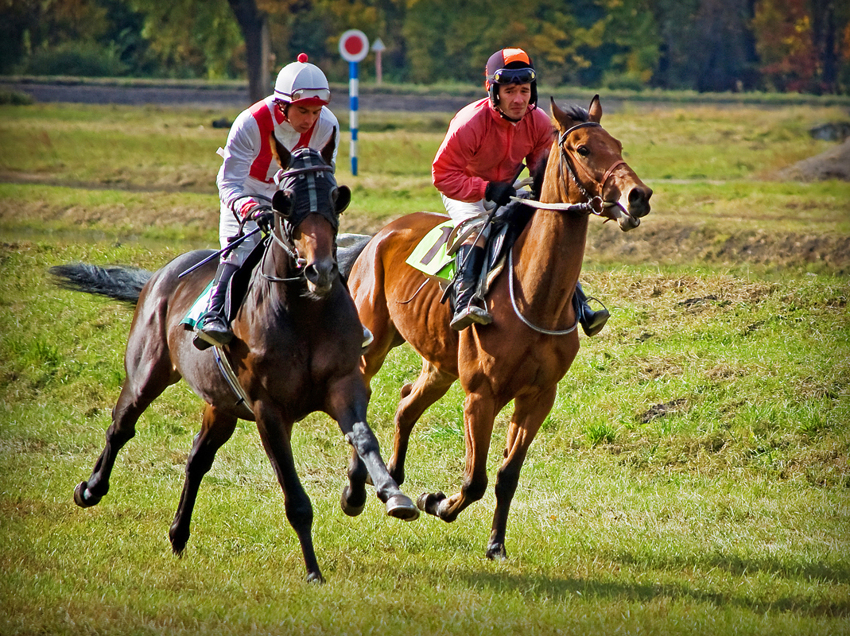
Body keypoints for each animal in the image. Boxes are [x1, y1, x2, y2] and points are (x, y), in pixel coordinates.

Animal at [51, 137, 416, 584]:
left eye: (335, 195)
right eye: (283, 200)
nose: (322, 270)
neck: (304, 313)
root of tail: (158, 275)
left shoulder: (344, 385)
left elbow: (364, 438)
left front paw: (389, 495)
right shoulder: (268, 410)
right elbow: (294, 496)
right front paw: (313, 569)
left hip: (221, 404)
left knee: (197, 458)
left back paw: (178, 534)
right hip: (147, 373)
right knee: (121, 426)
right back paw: (90, 489)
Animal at [344, 97, 648, 560]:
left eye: (616, 145)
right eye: (582, 149)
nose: (639, 196)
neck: (536, 297)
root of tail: (379, 235)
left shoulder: (538, 397)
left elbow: (507, 476)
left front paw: (495, 544)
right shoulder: (480, 395)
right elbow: (475, 480)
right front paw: (438, 502)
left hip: (440, 365)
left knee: (406, 403)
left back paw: (392, 480)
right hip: (373, 344)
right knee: (362, 396)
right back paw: (357, 491)